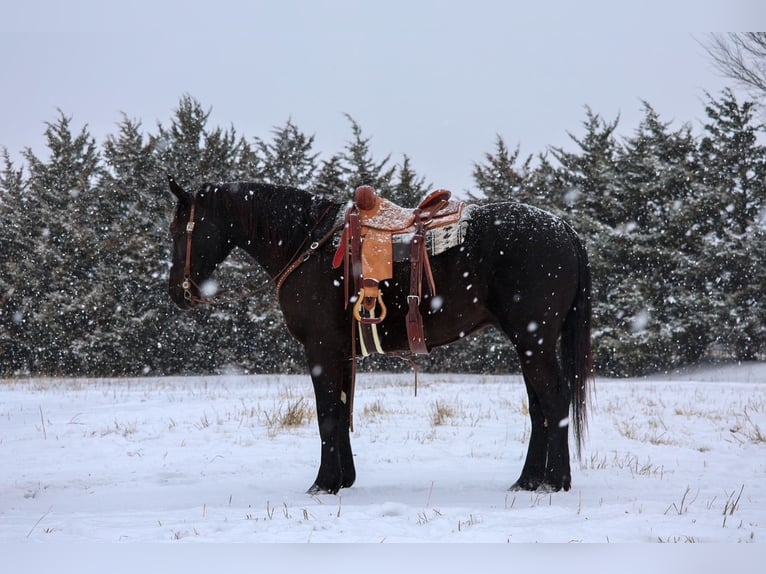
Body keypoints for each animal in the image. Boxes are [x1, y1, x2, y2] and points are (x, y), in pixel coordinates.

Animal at [166, 176, 593, 494]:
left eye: (178, 231)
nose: (177, 293)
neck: (307, 244)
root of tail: (566, 231)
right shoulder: (340, 353)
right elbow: (340, 409)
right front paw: (343, 479)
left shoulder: (320, 349)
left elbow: (327, 414)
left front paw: (323, 484)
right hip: (530, 344)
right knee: (539, 406)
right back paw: (528, 480)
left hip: (534, 341)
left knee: (554, 401)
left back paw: (555, 482)